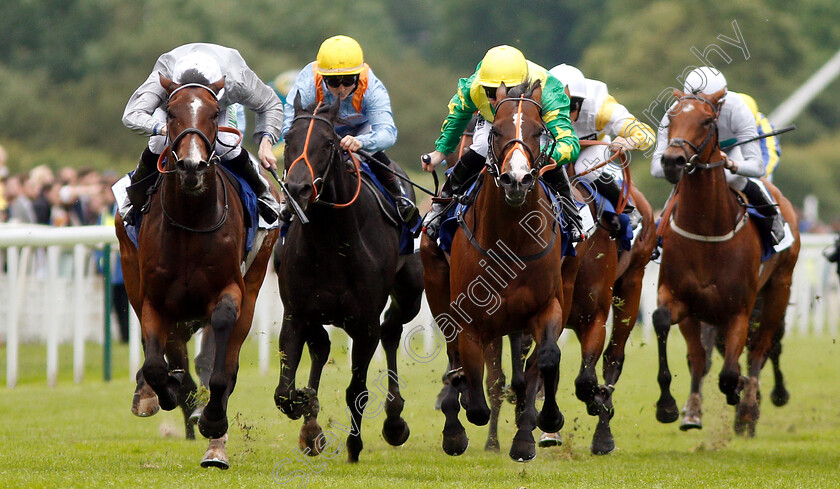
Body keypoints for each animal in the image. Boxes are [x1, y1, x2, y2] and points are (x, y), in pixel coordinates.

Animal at [115, 74, 280, 468]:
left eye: (214, 113)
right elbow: (157, 364)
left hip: (254, 283)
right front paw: (166, 392)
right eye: (172, 113)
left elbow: (221, 363)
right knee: (170, 353)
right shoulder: (155, 300)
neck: (190, 221)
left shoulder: (230, 290)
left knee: (226, 360)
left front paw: (212, 421)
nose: (192, 166)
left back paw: (213, 439)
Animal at [272, 94, 424, 462]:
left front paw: (355, 446)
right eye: (289, 138)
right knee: (322, 348)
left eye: (328, 143)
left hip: (410, 294)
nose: (297, 189)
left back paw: (394, 421)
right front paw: (305, 405)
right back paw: (312, 428)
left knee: (392, 329)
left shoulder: (364, 323)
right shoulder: (296, 313)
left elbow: (357, 390)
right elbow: (284, 392)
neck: (331, 242)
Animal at [424, 78, 568, 460]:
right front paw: (461, 420)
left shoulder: (548, 306)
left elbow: (547, 358)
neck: (512, 240)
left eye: (539, 131)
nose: (516, 179)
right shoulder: (472, 319)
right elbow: (475, 392)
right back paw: (454, 426)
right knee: (457, 362)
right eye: (497, 131)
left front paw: (542, 425)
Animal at [648, 87, 800, 434]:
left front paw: (739, 394)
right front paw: (669, 406)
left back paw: (749, 408)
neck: (707, 228)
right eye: (671, 118)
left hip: (778, 291)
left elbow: (731, 372)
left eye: (707, 120)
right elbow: (668, 327)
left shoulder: (739, 308)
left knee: (761, 349)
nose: (672, 160)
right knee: (708, 356)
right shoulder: (681, 300)